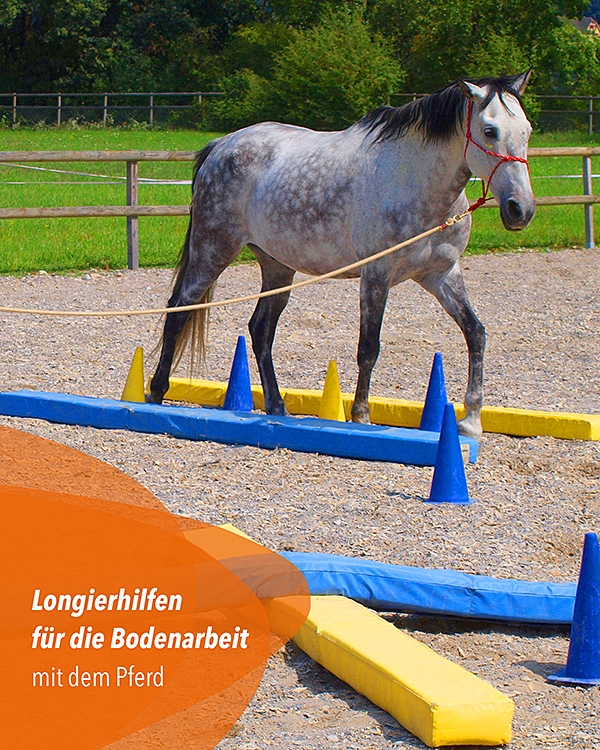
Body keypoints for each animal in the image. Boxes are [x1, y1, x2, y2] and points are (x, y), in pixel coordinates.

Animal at [148, 72, 535, 440]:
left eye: (527, 131)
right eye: (489, 131)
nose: (521, 210)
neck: (415, 182)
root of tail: (220, 146)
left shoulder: (443, 274)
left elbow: (475, 333)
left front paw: (471, 421)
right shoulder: (377, 275)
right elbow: (369, 347)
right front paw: (361, 416)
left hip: (277, 266)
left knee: (260, 329)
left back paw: (277, 406)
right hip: (213, 249)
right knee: (180, 309)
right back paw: (156, 391)